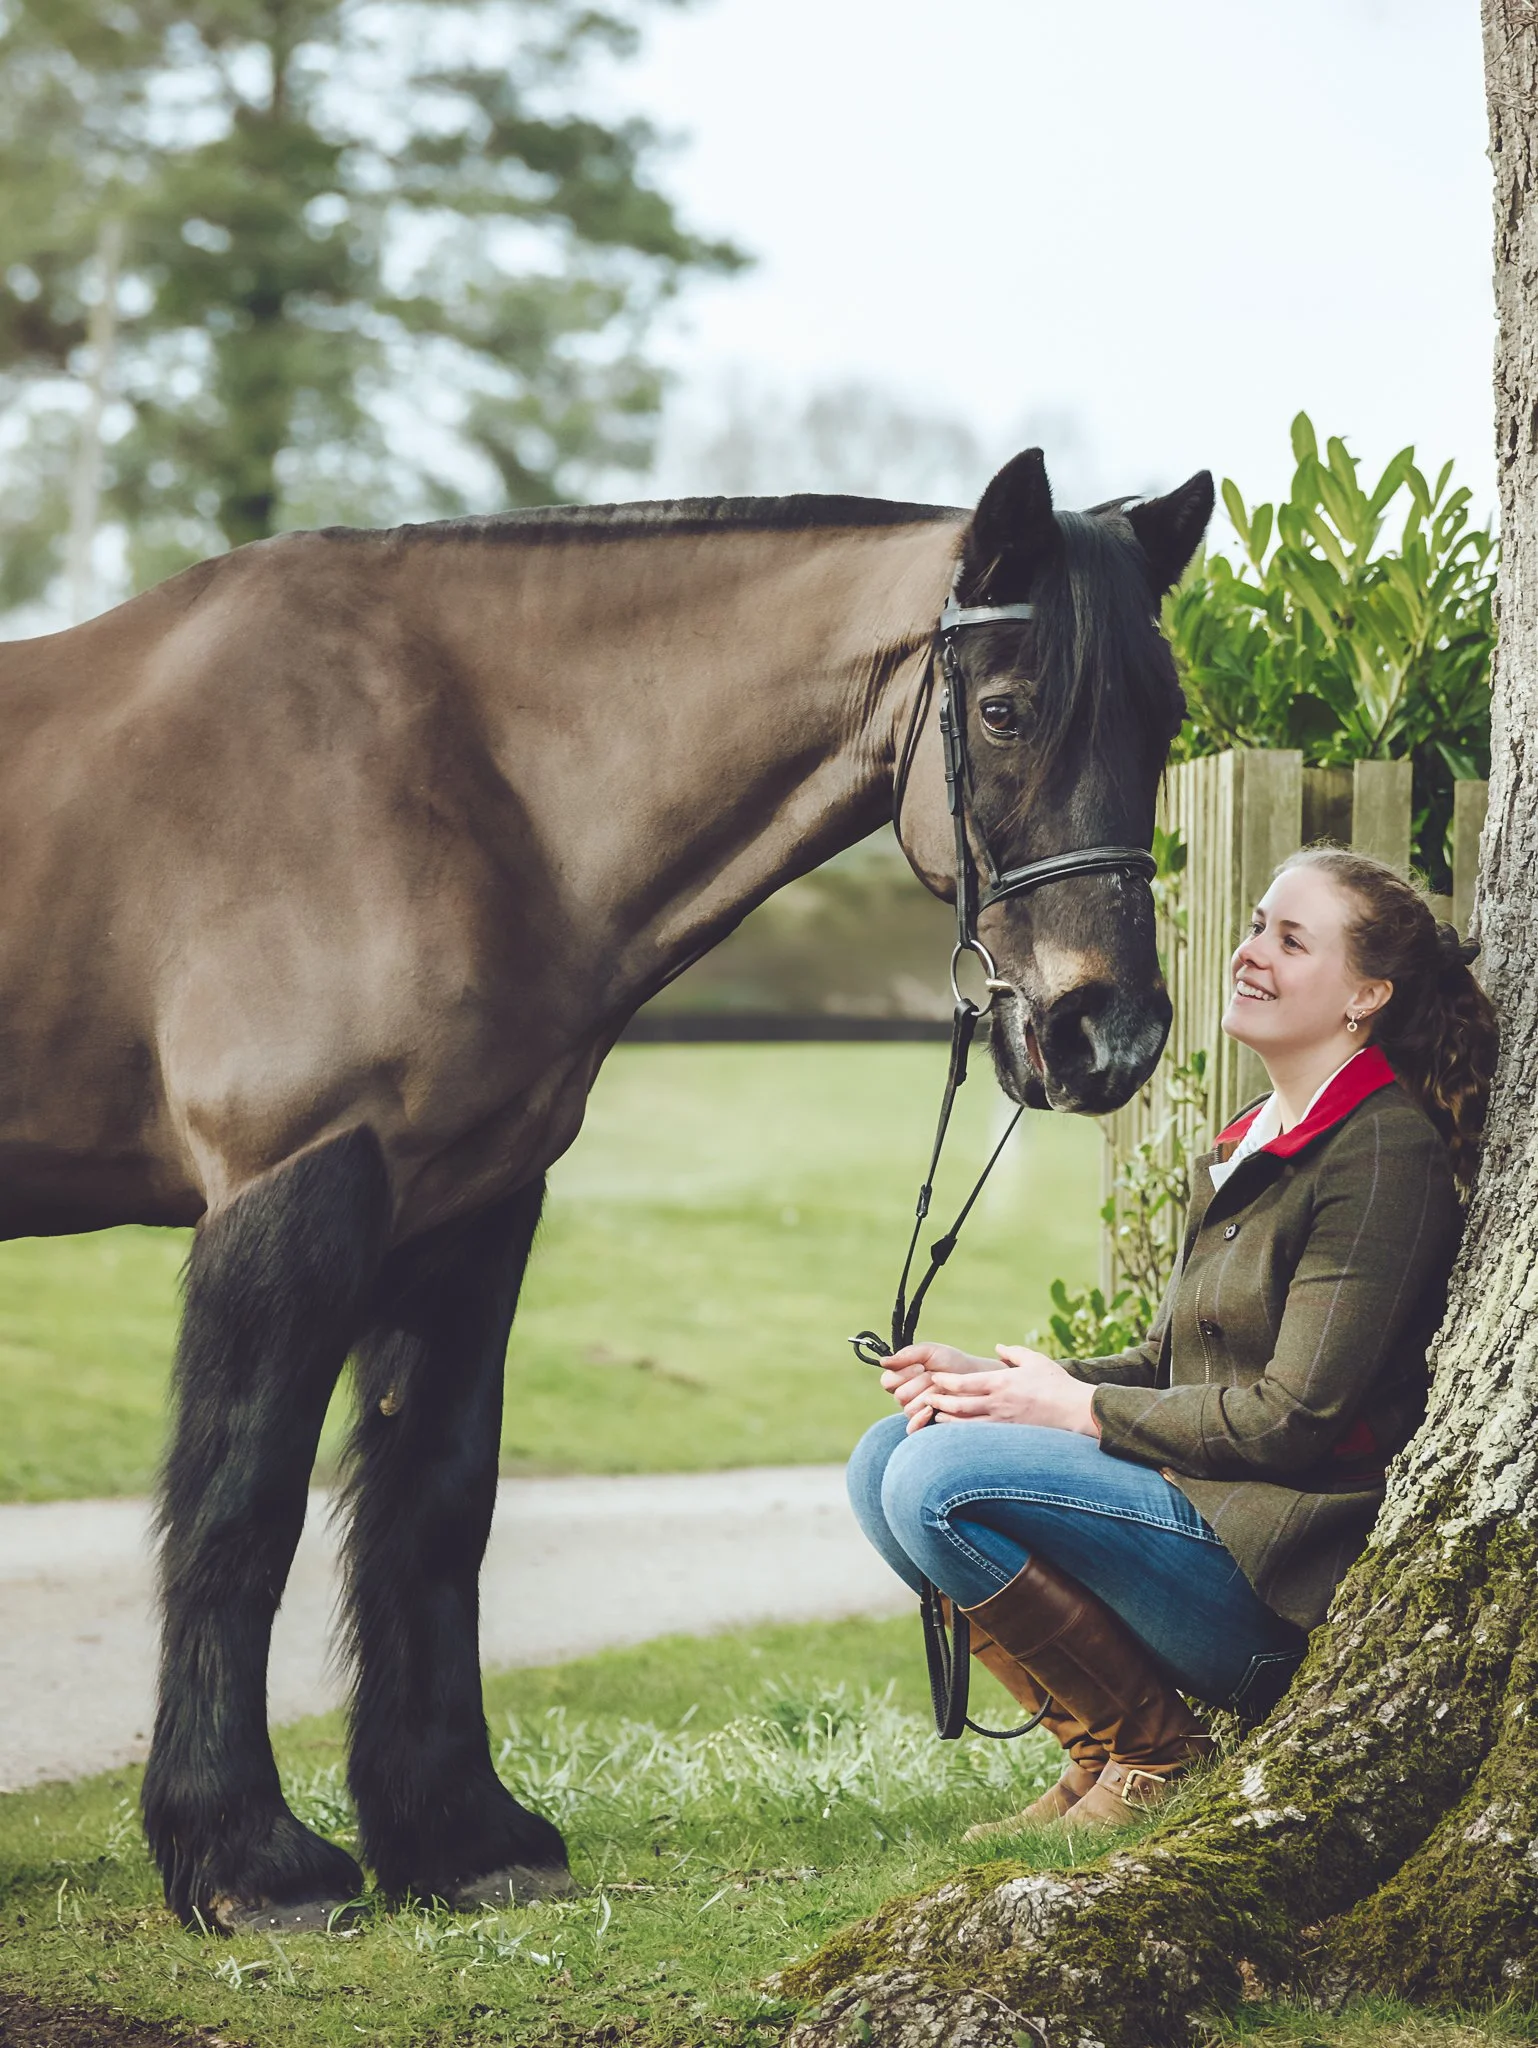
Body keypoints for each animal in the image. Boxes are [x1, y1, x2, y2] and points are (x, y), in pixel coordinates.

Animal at [0, 446, 1211, 1929]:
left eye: (1160, 718)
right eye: (1002, 709)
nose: (1109, 1034)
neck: (432, 770)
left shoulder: (468, 1206)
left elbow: (432, 1505)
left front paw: (457, 1833)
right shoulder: (295, 1192)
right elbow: (241, 1510)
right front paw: (248, 1857)